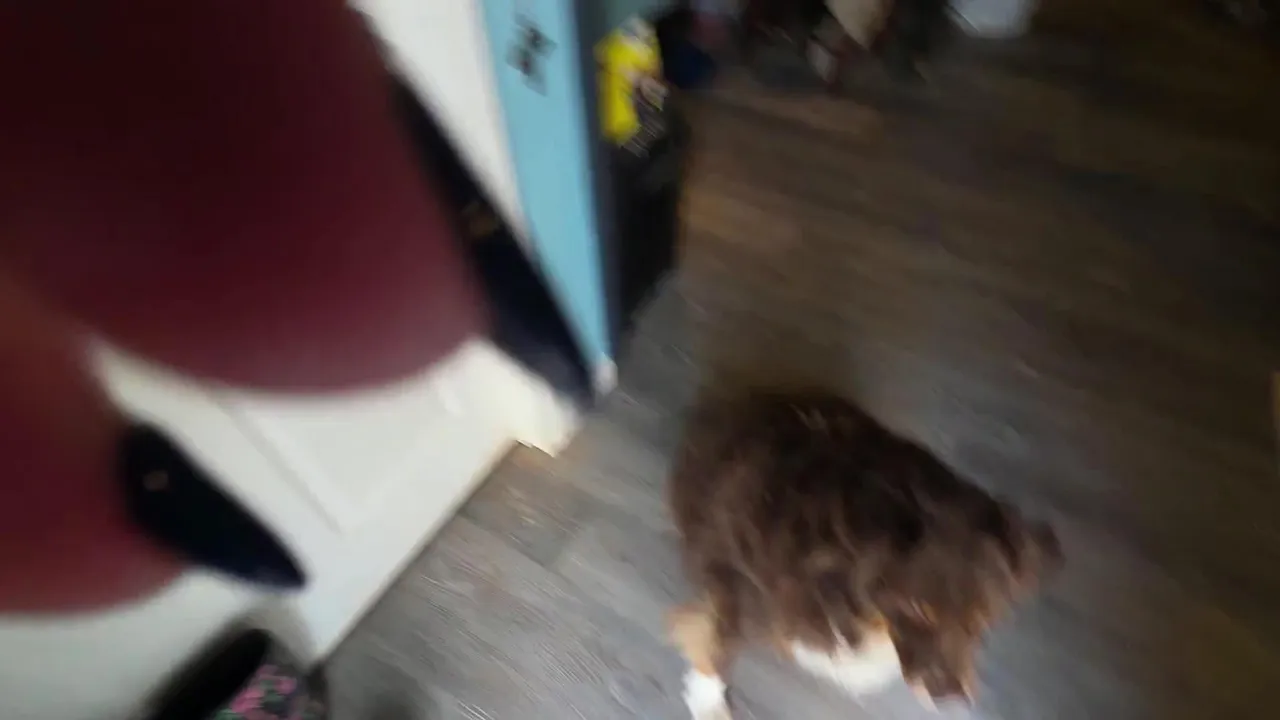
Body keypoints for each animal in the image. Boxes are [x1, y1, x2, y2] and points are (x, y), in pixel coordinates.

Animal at [667, 389, 1062, 718]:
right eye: (918, 608)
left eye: (980, 619)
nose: (951, 700)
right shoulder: (737, 579)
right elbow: (720, 642)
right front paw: (709, 701)